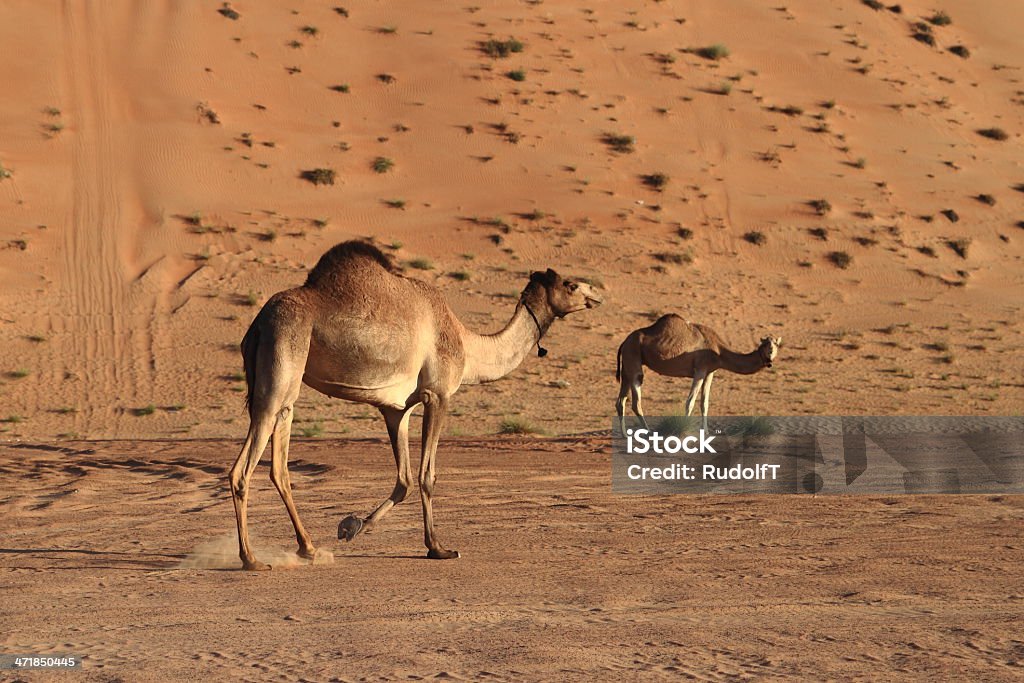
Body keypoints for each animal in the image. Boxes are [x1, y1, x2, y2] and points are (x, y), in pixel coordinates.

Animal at [228, 241, 602, 573]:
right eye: (570, 284)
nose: (595, 294)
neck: (466, 343)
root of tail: (257, 324)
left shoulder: (397, 410)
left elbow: (404, 479)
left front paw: (352, 526)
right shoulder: (438, 395)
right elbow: (427, 475)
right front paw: (438, 548)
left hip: (283, 385)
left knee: (279, 466)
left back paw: (308, 548)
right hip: (283, 358)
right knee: (243, 469)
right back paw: (251, 559)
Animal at [610, 315, 778, 432]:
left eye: (776, 346)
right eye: (766, 346)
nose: (769, 359)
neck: (718, 350)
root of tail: (624, 342)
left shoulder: (710, 372)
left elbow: (704, 403)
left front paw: (707, 433)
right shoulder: (700, 370)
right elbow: (690, 402)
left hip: (627, 364)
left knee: (621, 401)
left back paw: (625, 435)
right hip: (633, 355)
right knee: (636, 399)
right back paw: (649, 432)